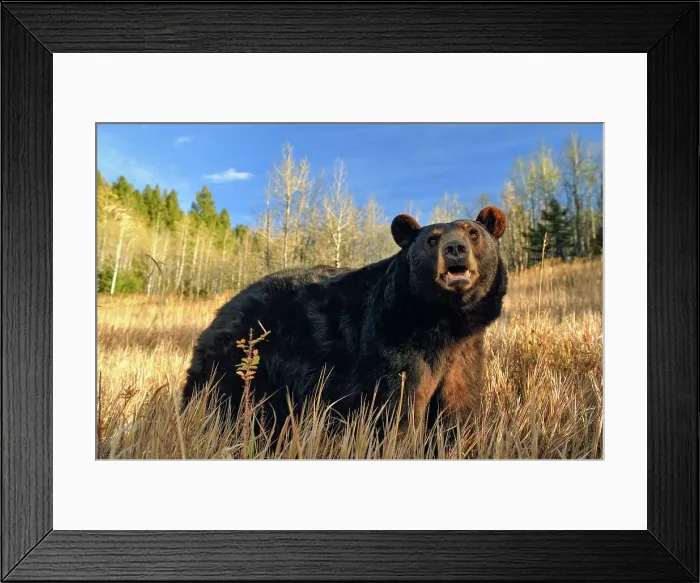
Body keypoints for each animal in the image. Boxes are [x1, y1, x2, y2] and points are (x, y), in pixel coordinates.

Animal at [182, 206, 507, 435]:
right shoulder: (393, 340)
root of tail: (221, 311)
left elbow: (458, 404)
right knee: (214, 399)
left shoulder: (465, 351)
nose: (455, 249)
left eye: (473, 233)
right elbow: (397, 406)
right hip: (238, 360)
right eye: (432, 239)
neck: (444, 321)